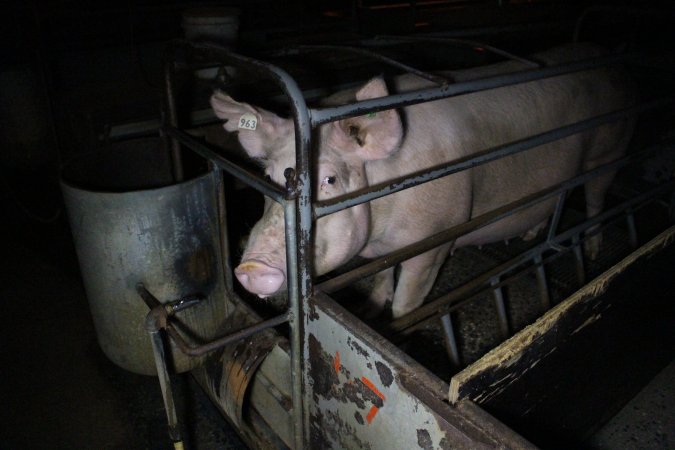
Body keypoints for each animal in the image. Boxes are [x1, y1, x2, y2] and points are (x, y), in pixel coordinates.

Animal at [214, 42, 636, 316]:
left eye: (330, 180)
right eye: (270, 177)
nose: (251, 269)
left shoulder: (436, 239)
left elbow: (408, 301)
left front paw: (396, 323)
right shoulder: (382, 250)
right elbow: (381, 279)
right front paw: (374, 306)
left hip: (609, 152)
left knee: (595, 198)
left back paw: (594, 252)